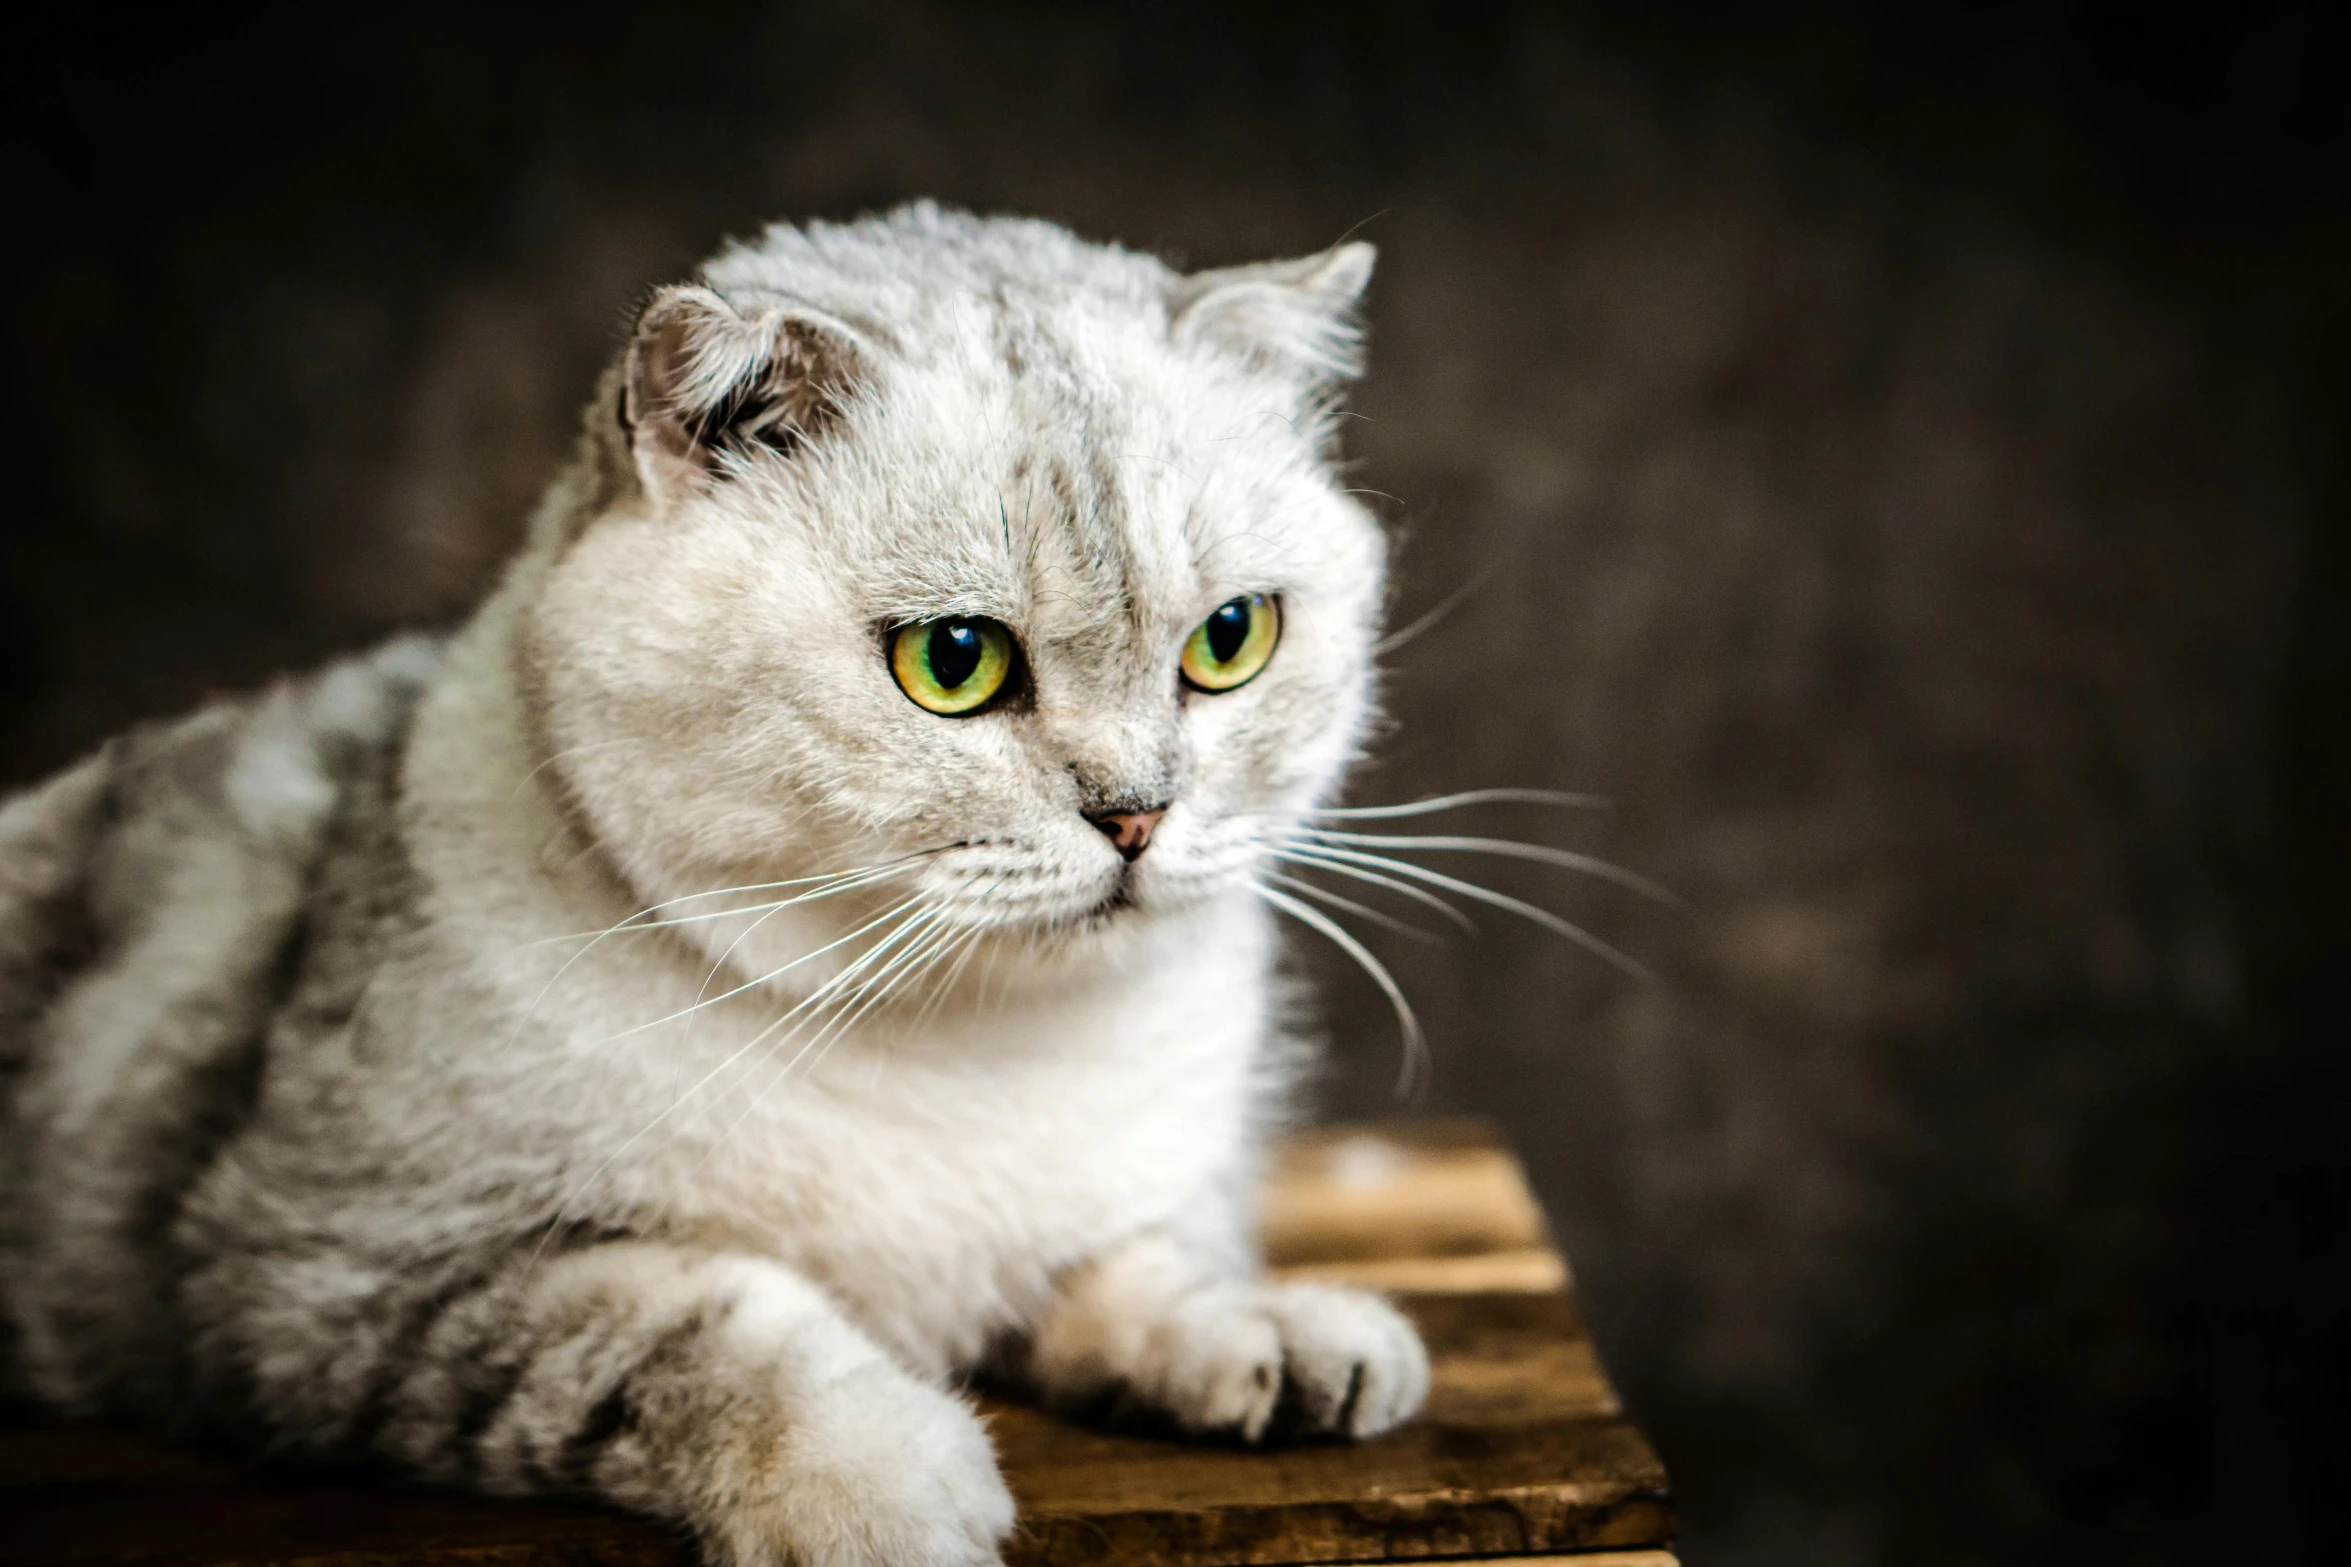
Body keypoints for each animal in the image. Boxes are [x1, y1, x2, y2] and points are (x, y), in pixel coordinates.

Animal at [0, 207, 1429, 1567]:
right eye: (952, 660)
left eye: (1230, 639)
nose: (1136, 814)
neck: (966, 1052)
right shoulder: (322, 1271)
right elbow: (699, 1323)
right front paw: (876, 1477)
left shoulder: (1128, 1197)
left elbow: (1143, 1261)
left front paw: (1267, 1332)